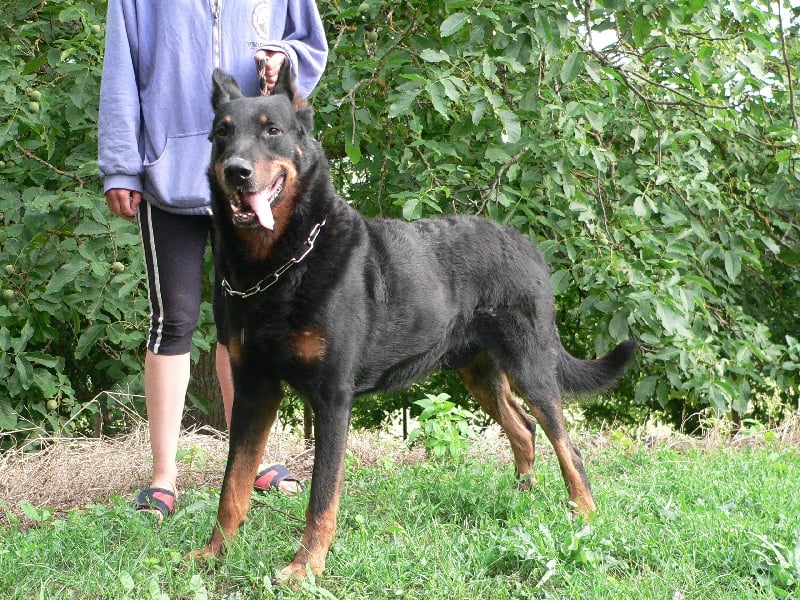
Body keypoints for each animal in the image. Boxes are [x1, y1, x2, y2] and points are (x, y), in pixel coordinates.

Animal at [197, 64, 640, 580]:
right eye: (222, 133)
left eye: (272, 131)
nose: (237, 171)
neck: (277, 268)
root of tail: (528, 246)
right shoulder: (253, 389)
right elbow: (233, 486)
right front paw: (213, 553)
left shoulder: (332, 398)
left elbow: (321, 497)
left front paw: (306, 566)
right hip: (480, 372)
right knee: (524, 428)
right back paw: (520, 499)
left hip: (530, 367)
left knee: (568, 446)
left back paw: (584, 515)